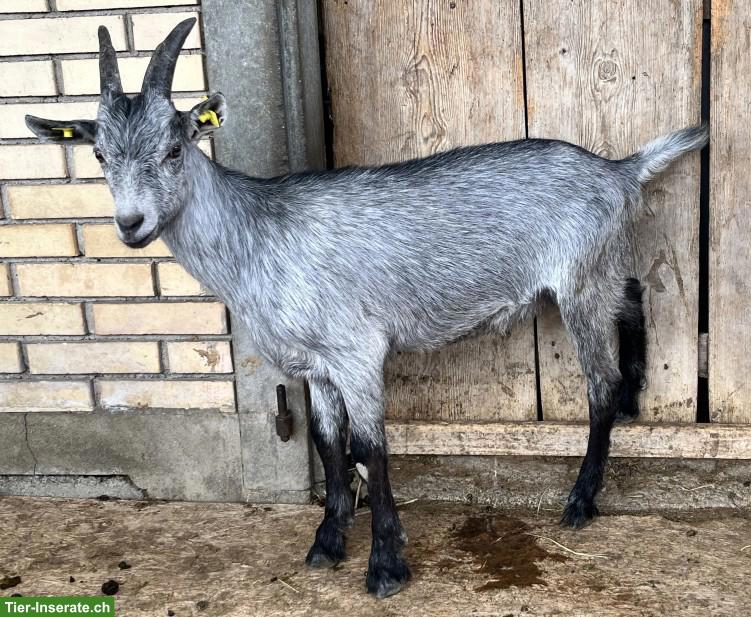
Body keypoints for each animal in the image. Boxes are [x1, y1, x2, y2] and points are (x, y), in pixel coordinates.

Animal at [26, 18, 708, 598]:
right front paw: (327, 542)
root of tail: (620, 170)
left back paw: (581, 498)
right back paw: (634, 396)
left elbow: (370, 448)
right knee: (634, 295)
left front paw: (385, 565)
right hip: (597, 270)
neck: (258, 236)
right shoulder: (316, 365)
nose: (131, 224)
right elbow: (329, 444)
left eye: (172, 149)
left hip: (578, 283)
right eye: (99, 155)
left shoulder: (356, 352)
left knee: (599, 382)